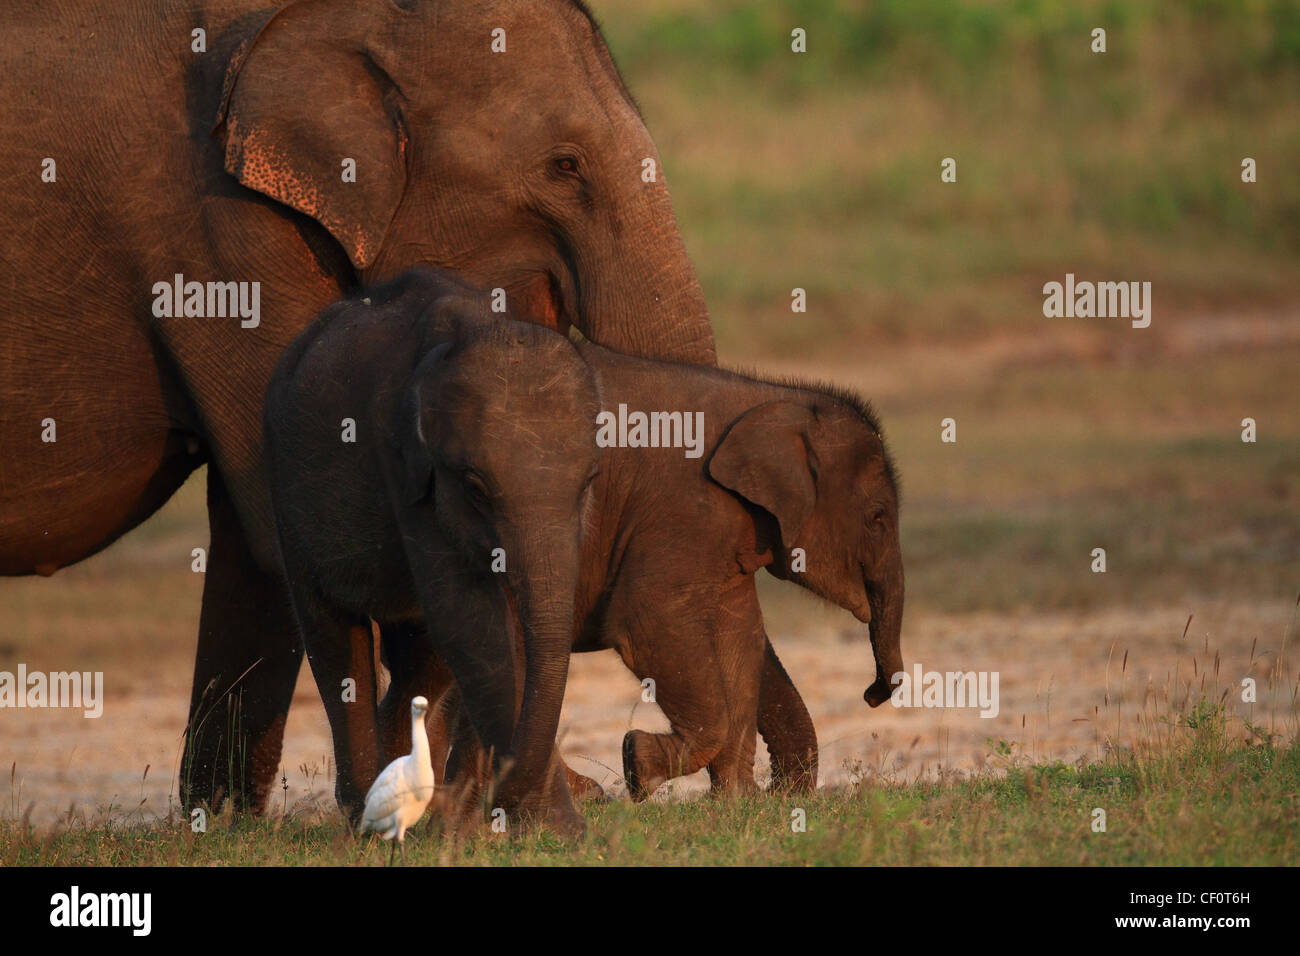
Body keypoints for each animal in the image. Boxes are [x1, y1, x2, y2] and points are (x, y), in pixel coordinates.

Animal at [0, 1, 717, 816]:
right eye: (565, 166)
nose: (638, 765)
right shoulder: (219, 236)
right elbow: (285, 519)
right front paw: (556, 796)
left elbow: (258, 534)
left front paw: (224, 819)